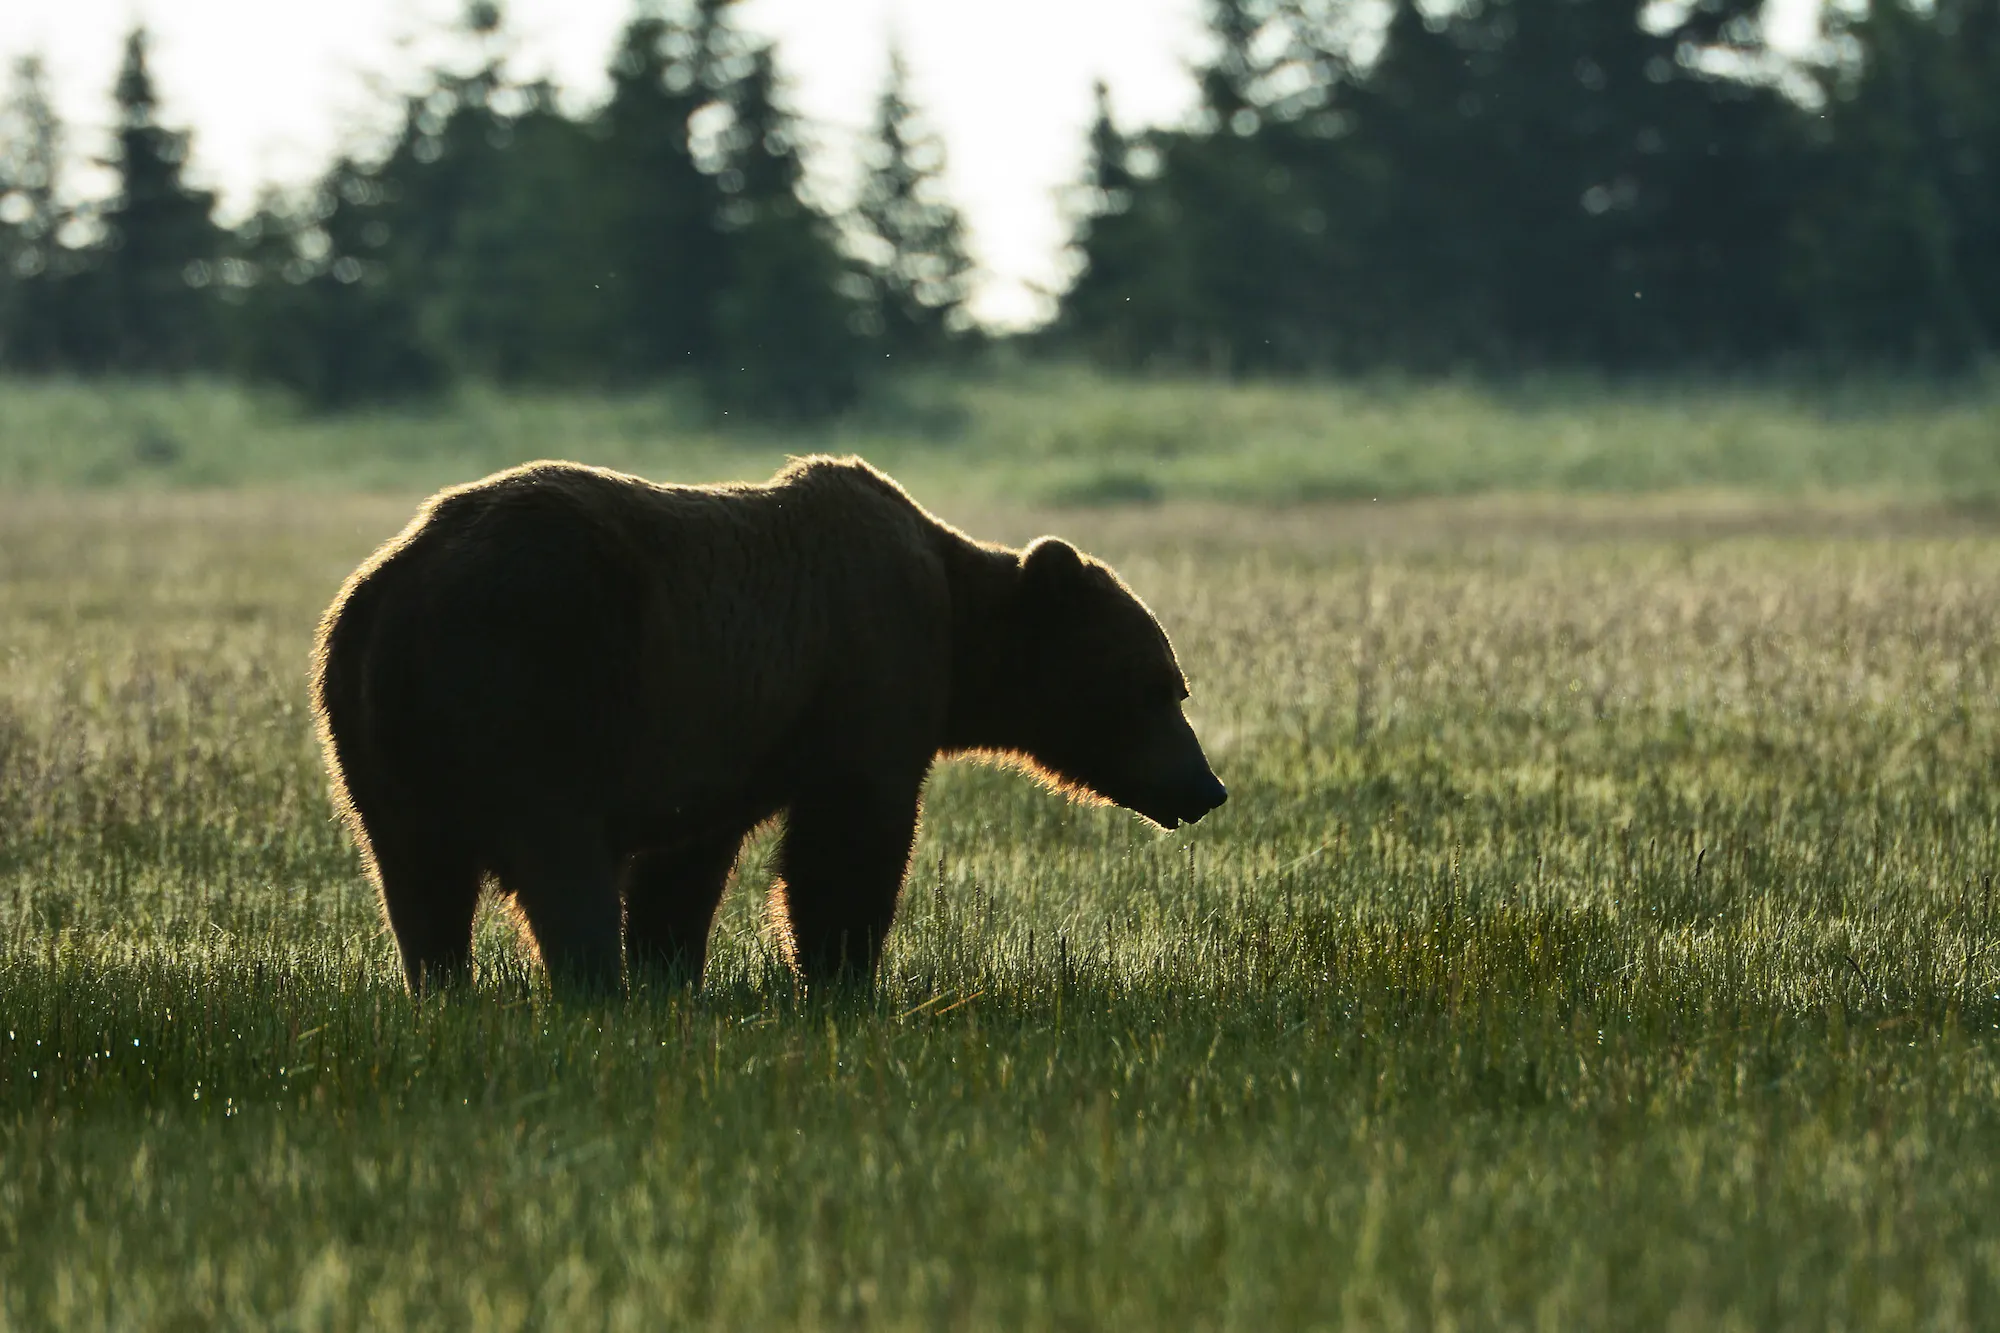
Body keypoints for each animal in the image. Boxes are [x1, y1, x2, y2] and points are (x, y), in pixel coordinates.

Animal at [310, 455, 1226, 994]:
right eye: (1163, 687)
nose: (1206, 785)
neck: (957, 627)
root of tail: (397, 592)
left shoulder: (727, 745)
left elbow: (686, 867)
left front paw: (672, 971)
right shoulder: (863, 677)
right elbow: (849, 844)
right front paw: (842, 977)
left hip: (374, 733)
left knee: (417, 879)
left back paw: (444, 988)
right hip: (537, 679)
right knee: (558, 855)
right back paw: (590, 988)